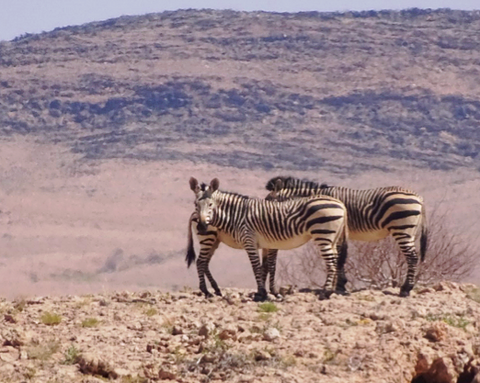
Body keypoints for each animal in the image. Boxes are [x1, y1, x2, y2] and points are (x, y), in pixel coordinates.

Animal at [188, 178, 348, 304]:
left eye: (210, 205)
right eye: (195, 204)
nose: (202, 226)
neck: (237, 214)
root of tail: (341, 204)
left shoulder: (250, 242)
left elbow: (258, 267)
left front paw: (262, 293)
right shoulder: (266, 244)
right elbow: (266, 267)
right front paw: (265, 293)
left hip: (324, 235)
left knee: (331, 262)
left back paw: (326, 292)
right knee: (202, 262)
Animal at [266, 176, 428, 298]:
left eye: (269, 200)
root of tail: (419, 197)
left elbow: (338, 258)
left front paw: (339, 286)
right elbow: (339, 257)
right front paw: (340, 284)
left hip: (401, 229)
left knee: (412, 257)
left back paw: (406, 289)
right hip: (410, 231)